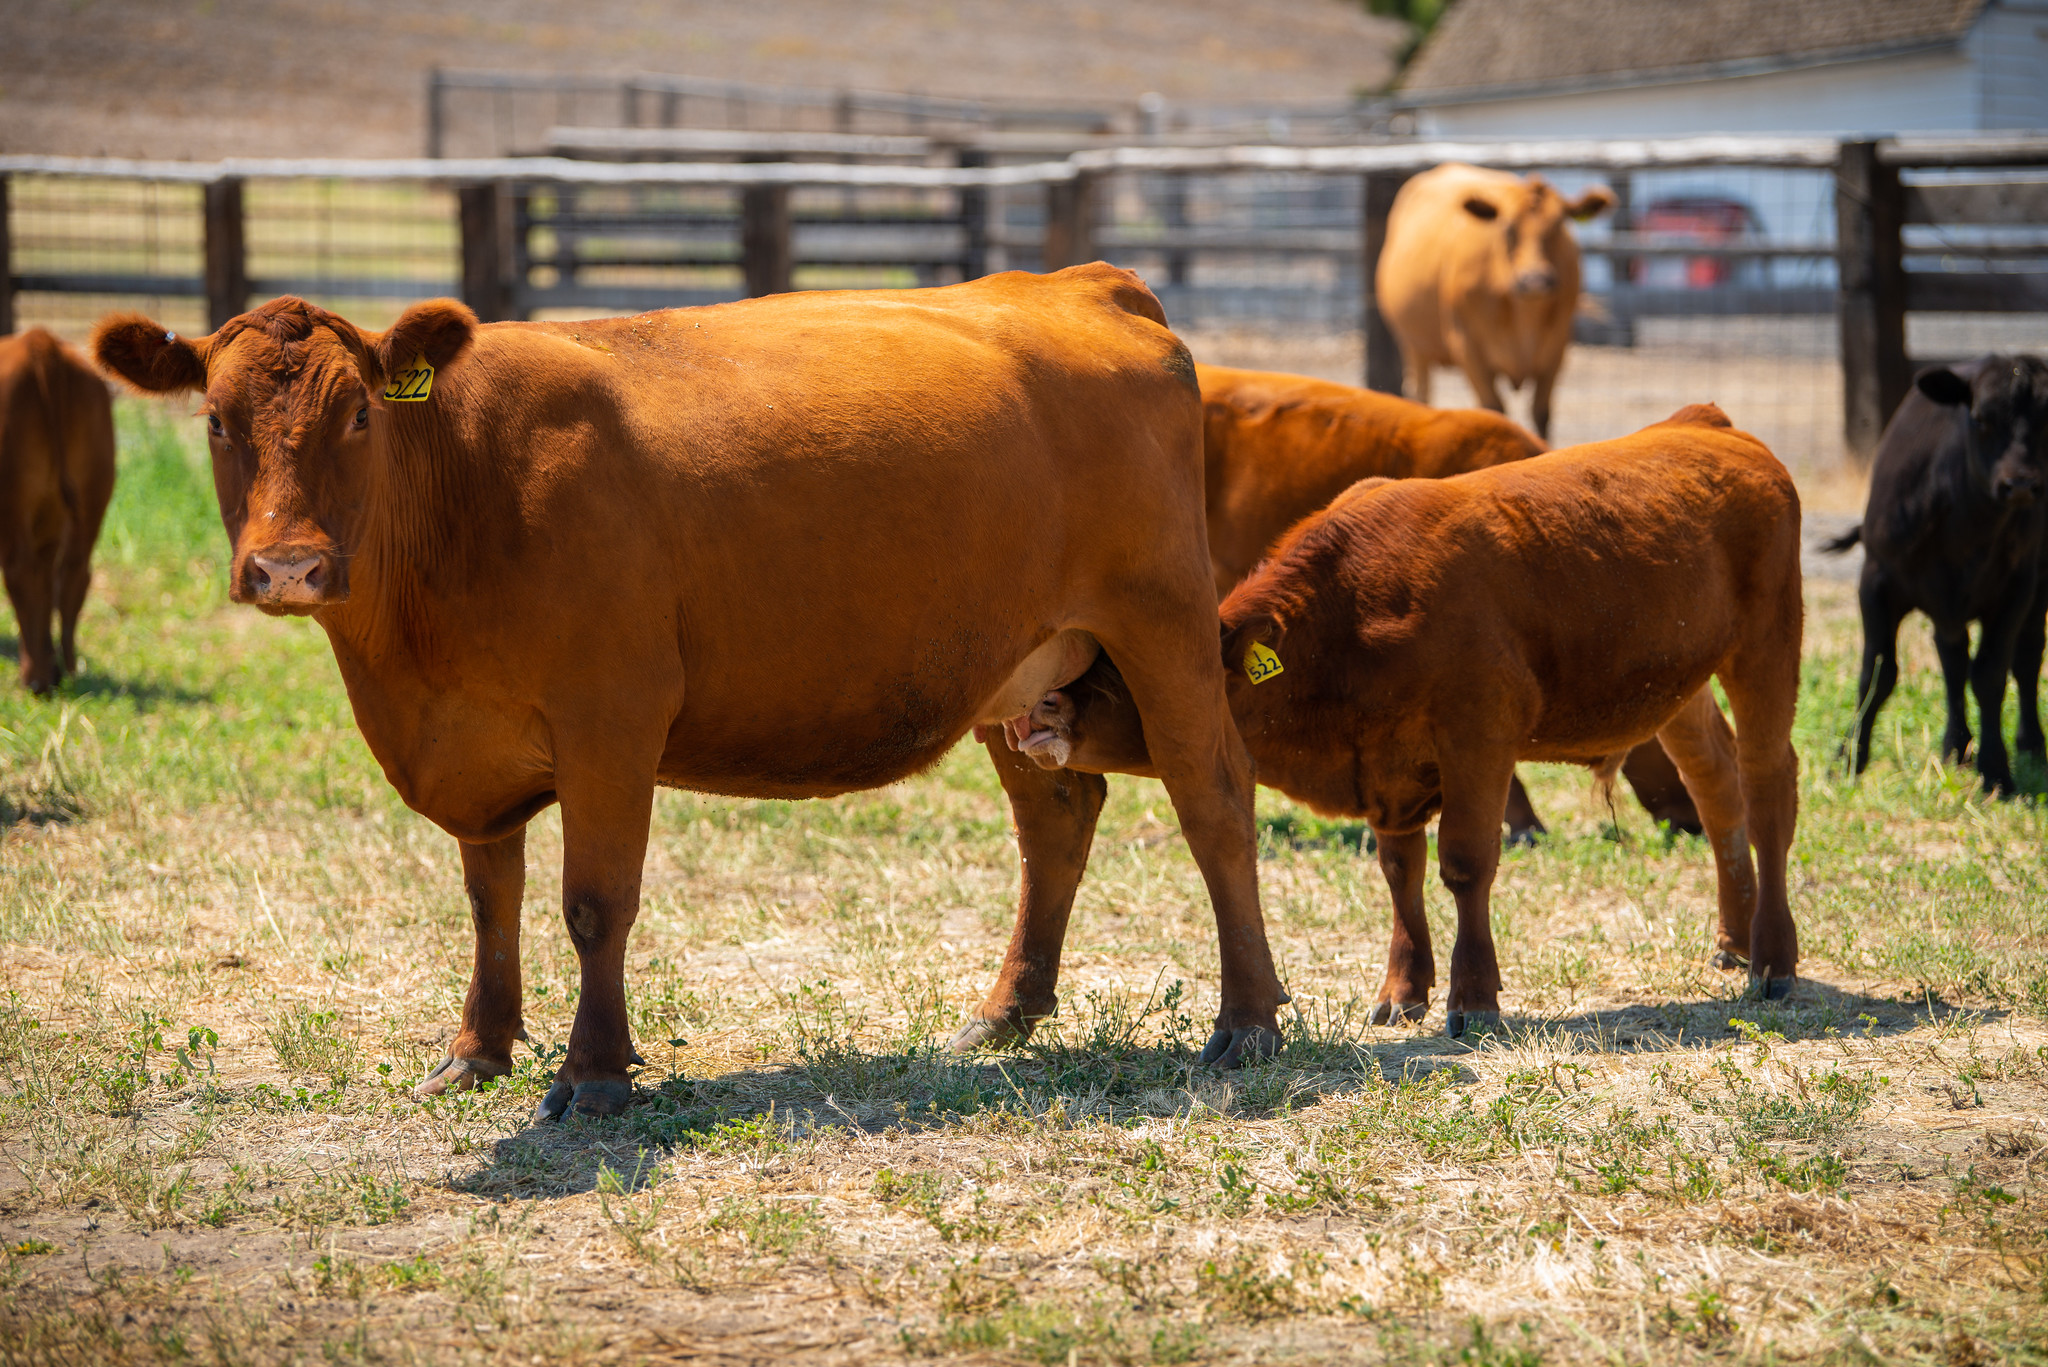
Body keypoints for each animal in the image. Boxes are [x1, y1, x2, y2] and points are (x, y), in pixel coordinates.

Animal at [0, 327, 116, 696]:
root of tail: (37, 340)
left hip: (13, 500)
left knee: (21, 572)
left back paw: (35, 678)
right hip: (90, 494)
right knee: (69, 574)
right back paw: (59, 668)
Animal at [92, 270, 1277, 1123]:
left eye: (357, 419)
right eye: (215, 420)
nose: (287, 566)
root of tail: (1082, 283)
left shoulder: (610, 718)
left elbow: (593, 902)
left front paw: (593, 1073)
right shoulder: (472, 741)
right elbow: (489, 900)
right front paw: (475, 1050)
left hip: (1162, 622)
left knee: (1214, 800)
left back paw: (1249, 1019)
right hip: (1014, 659)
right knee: (1055, 818)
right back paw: (1004, 1012)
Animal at [1003, 405, 1794, 1037]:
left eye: (1121, 671)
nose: (1038, 705)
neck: (1355, 612)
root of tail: (1704, 423)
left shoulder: (1480, 733)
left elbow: (1466, 863)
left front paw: (1474, 998)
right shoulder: (1387, 767)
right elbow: (1399, 871)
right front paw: (1404, 989)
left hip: (1764, 650)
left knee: (1768, 790)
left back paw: (1775, 958)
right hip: (1681, 688)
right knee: (1717, 787)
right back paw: (1734, 940)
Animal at [1376, 160, 1613, 440]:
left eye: (1558, 225)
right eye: (1508, 228)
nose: (1535, 280)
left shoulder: (1557, 346)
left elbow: (1541, 412)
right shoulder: (1468, 346)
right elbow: (1493, 409)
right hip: (1413, 345)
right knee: (1420, 393)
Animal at [1835, 358, 2048, 795]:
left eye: (2047, 419)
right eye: (1980, 418)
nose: (2021, 484)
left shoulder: (2016, 588)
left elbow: (1990, 674)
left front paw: (1996, 768)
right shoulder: (1875, 581)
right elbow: (1877, 673)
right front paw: (1850, 757)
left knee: (2026, 658)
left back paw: (2031, 744)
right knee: (1952, 658)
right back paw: (1955, 746)